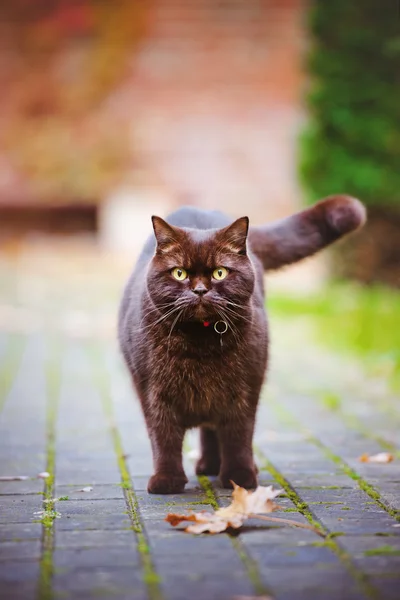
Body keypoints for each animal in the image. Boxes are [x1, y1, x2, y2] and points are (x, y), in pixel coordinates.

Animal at [118, 196, 366, 492]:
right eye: (179, 273)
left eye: (219, 273)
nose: (200, 290)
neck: (199, 345)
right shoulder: (154, 392)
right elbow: (163, 437)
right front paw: (167, 481)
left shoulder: (245, 389)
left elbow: (238, 436)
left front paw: (239, 478)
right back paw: (208, 465)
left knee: (214, 431)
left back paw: (216, 466)